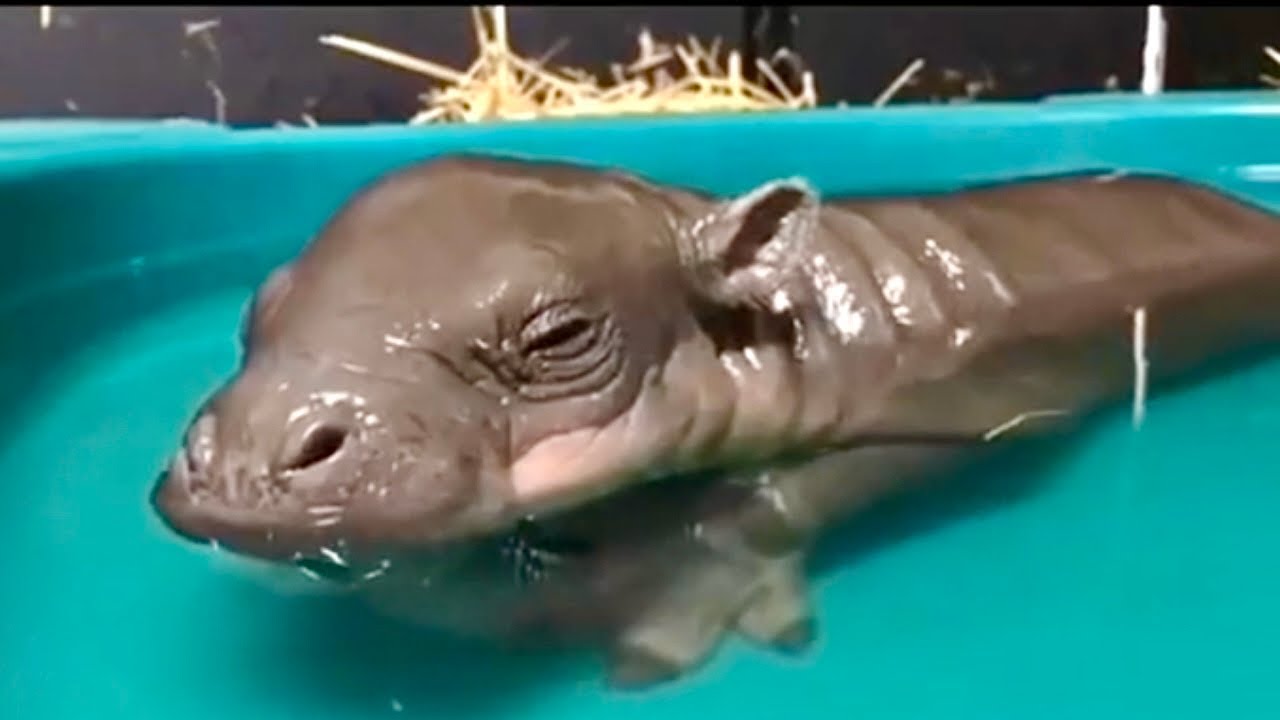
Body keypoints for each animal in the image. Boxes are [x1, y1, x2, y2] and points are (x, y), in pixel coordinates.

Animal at [151, 154, 1280, 686]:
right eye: (257, 309)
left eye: (560, 336)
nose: (252, 451)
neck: (789, 311)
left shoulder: (971, 402)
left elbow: (777, 494)